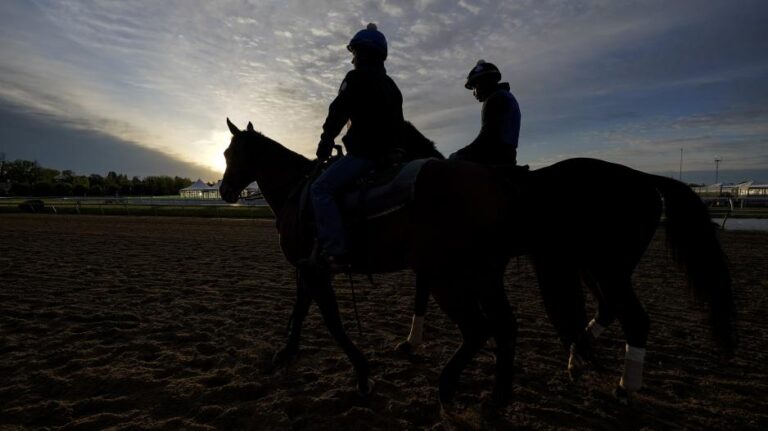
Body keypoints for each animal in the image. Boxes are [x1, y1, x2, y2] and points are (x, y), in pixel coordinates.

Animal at [219, 118, 736, 404]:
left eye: (228, 152)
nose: (223, 190)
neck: (301, 189)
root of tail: (645, 179)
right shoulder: (311, 269)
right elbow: (302, 309)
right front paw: (286, 353)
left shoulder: (321, 268)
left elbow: (330, 320)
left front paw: (367, 372)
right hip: (583, 269)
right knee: (548, 320)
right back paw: (549, 372)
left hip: (595, 268)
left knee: (626, 320)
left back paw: (619, 387)